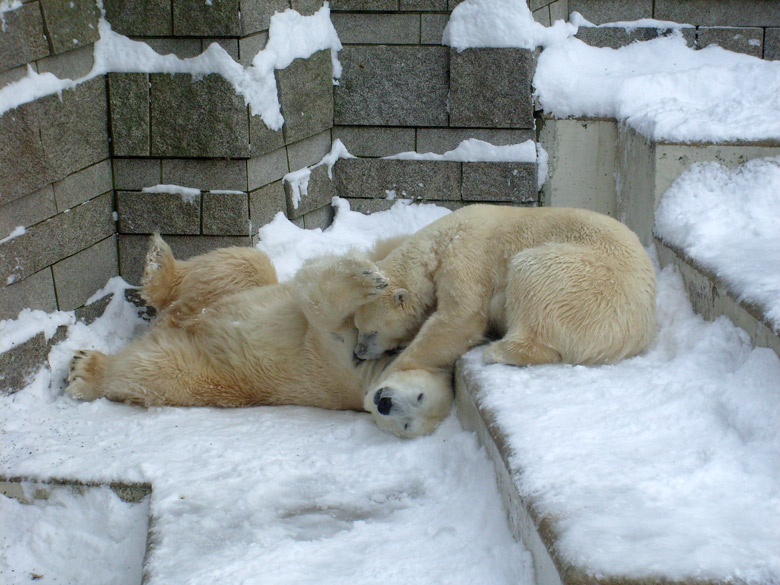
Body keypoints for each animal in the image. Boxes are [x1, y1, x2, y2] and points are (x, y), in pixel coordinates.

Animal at [71, 235, 458, 436]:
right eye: (420, 395)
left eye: (406, 425)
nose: (385, 402)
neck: (374, 372)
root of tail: (172, 322)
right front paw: (373, 277)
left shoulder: (340, 365)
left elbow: (320, 306)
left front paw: (363, 280)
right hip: (232, 291)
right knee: (243, 263)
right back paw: (160, 264)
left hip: (211, 369)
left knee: (156, 368)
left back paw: (86, 370)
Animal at [308, 204, 656, 428]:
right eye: (358, 327)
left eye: (371, 332)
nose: (359, 352)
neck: (438, 242)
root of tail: (637, 331)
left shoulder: (466, 257)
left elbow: (460, 318)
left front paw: (386, 378)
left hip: (583, 281)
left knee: (532, 275)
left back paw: (498, 351)